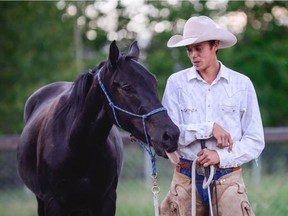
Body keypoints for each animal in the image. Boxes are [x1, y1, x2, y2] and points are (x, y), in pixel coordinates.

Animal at [16, 41, 179, 216]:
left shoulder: (106, 201)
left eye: (154, 83)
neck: (77, 147)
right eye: (127, 87)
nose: (171, 135)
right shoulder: (52, 202)